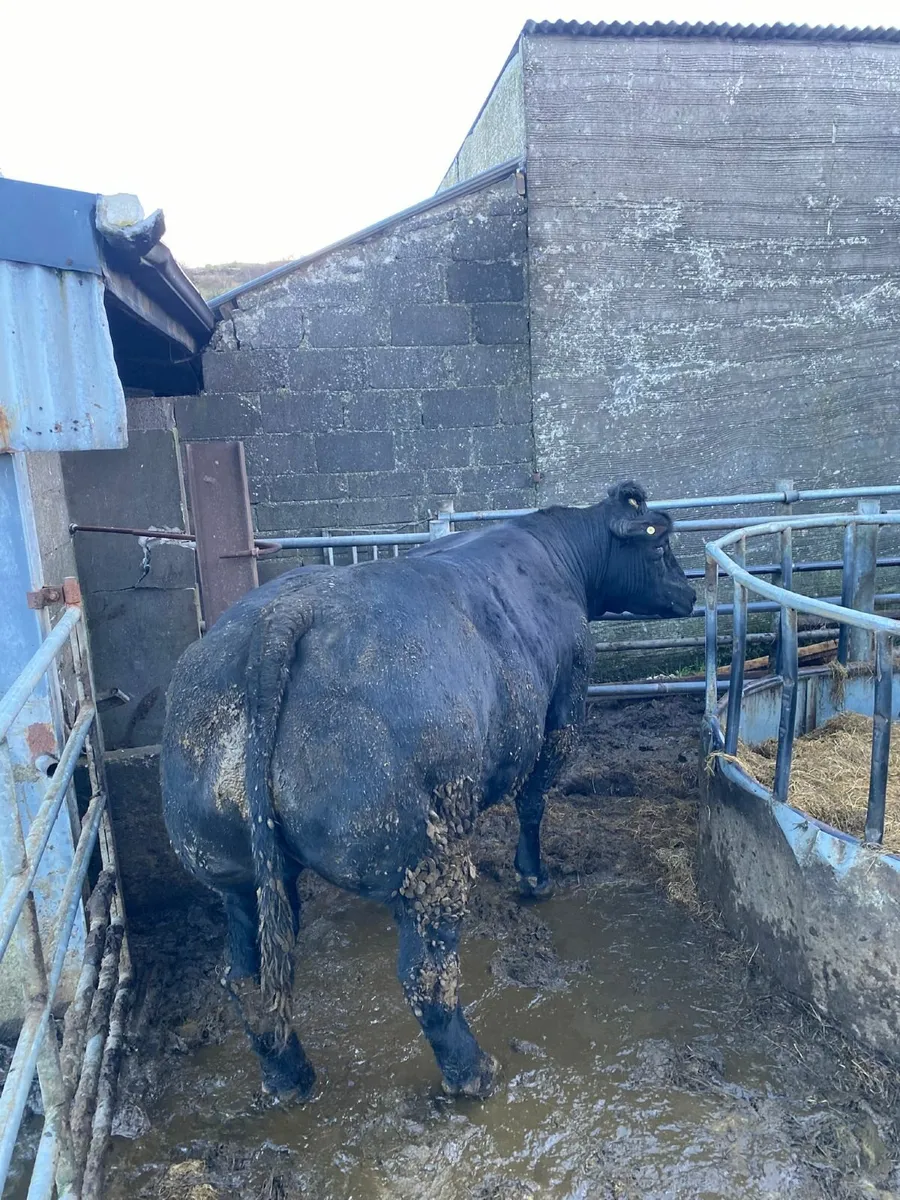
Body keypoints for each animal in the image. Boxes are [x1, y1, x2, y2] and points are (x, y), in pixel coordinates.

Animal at [161, 481, 695, 1103]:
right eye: (660, 547)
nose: (690, 594)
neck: (555, 554)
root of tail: (286, 611)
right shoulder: (562, 715)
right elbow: (533, 804)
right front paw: (534, 878)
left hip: (233, 873)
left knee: (248, 981)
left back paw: (287, 1077)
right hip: (427, 858)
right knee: (428, 976)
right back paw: (473, 1072)